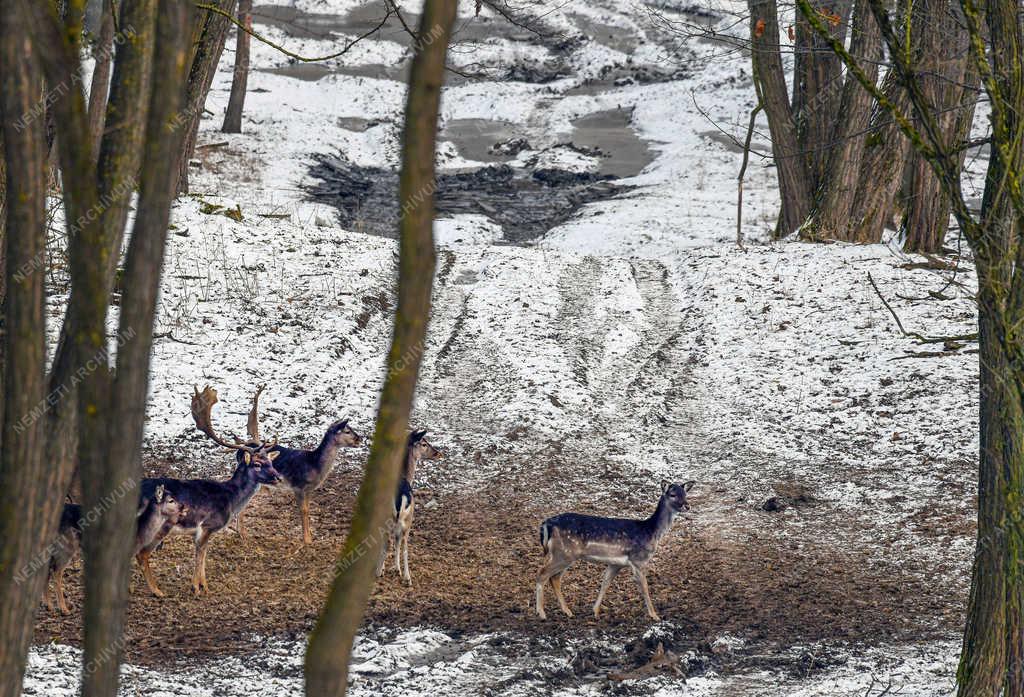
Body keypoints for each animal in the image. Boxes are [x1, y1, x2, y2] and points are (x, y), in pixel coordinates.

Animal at [137, 382, 284, 593]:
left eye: (270, 461)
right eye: (257, 463)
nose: (278, 477)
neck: (231, 499)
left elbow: (203, 554)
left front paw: (203, 585)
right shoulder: (207, 525)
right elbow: (200, 554)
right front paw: (198, 587)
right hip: (159, 524)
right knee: (141, 553)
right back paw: (156, 591)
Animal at [374, 429, 442, 581]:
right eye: (424, 443)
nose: (438, 453)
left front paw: (393, 569)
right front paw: (395, 569)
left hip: (397, 520)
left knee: (395, 543)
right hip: (406, 520)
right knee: (401, 544)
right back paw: (402, 576)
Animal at [536, 478, 696, 618]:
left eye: (685, 494)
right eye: (673, 494)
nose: (687, 505)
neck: (651, 532)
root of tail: (547, 524)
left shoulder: (616, 563)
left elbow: (605, 583)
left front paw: (595, 611)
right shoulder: (638, 560)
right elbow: (644, 588)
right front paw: (654, 616)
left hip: (565, 554)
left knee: (554, 578)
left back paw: (567, 611)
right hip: (564, 553)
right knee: (543, 574)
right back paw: (541, 613)